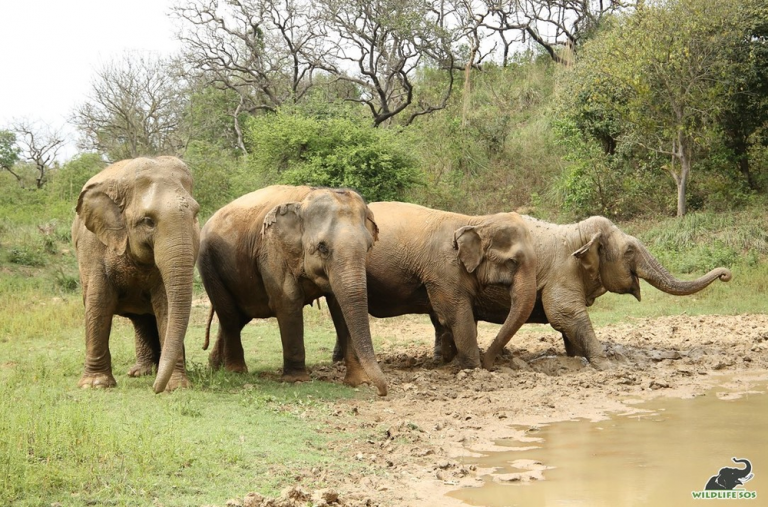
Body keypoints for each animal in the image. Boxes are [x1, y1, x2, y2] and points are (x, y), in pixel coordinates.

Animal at [71, 157, 201, 394]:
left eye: (195, 215)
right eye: (148, 221)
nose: (155, 389)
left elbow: (166, 305)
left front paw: (176, 386)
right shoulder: (92, 245)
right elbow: (99, 302)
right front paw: (95, 385)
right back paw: (141, 372)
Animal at [200, 186, 390, 396]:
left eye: (369, 246)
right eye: (322, 247)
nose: (382, 392)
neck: (304, 201)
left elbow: (340, 306)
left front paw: (359, 382)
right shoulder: (271, 250)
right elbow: (288, 300)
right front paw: (298, 380)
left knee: (237, 316)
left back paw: (215, 367)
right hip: (209, 265)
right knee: (230, 316)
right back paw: (236, 372)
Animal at [336, 200, 540, 372]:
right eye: (513, 262)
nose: (490, 366)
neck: (476, 221)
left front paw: (451, 357)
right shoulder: (444, 269)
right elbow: (456, 315)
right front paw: (473, 369)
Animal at [432, 214, 732, 370]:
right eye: (629, 251)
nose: (726, 274)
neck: (577, 231)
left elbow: (568, 323)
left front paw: (577, 358)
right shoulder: (562, 271)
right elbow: (564, 313)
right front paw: (607, 365)